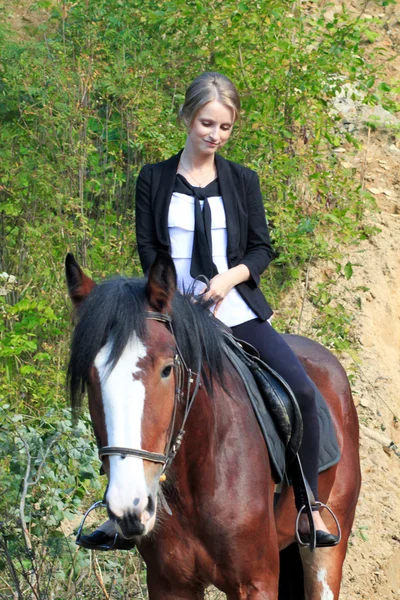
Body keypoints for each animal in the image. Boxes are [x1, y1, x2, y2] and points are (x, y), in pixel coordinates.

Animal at [65, 251, 360, 596]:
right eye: (90, 376)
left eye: (167, 369)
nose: (130, 504)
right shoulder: (170, 585)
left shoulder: (256, 582)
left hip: (327, 551)